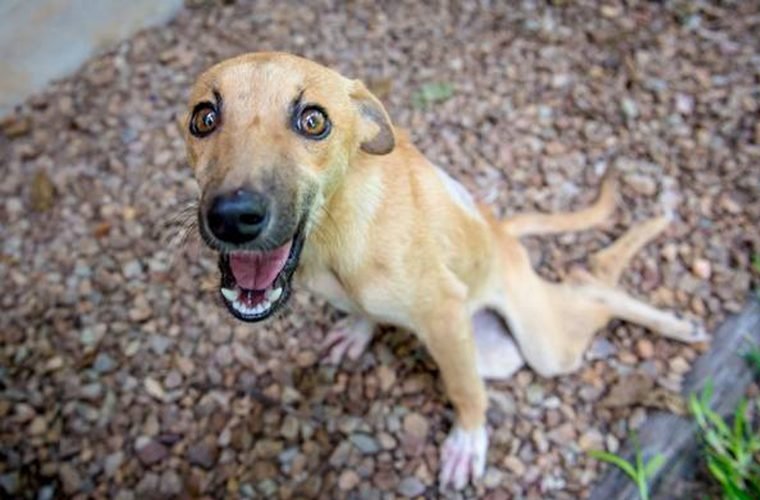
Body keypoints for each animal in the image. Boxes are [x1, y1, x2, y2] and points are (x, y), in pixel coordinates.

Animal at [181, 52, 708, 490]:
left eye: (313, 121)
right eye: (203, 118)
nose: (233, 217)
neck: (336, 233)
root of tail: (501, 231)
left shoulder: (445, 315)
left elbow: (464, 389)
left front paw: (467, 441)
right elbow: (364, 312)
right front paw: (358, 331)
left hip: (545, 348)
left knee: (591, 283)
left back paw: (675, 318)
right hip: (500, 353)